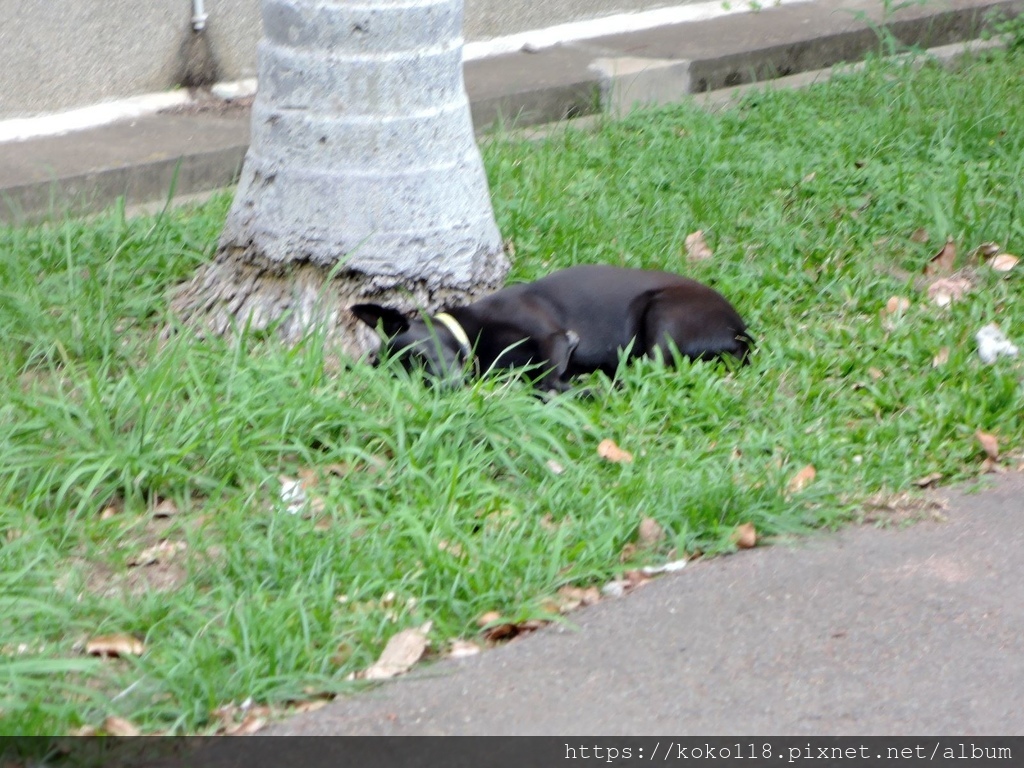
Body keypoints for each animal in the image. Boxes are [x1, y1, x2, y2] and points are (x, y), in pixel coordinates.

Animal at [352, 266, 753, 393]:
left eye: (419, 356)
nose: (444, 390)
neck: (472, 331)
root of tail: (739, 332)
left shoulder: (556, 338)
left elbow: (547, 382)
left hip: (661, 313)